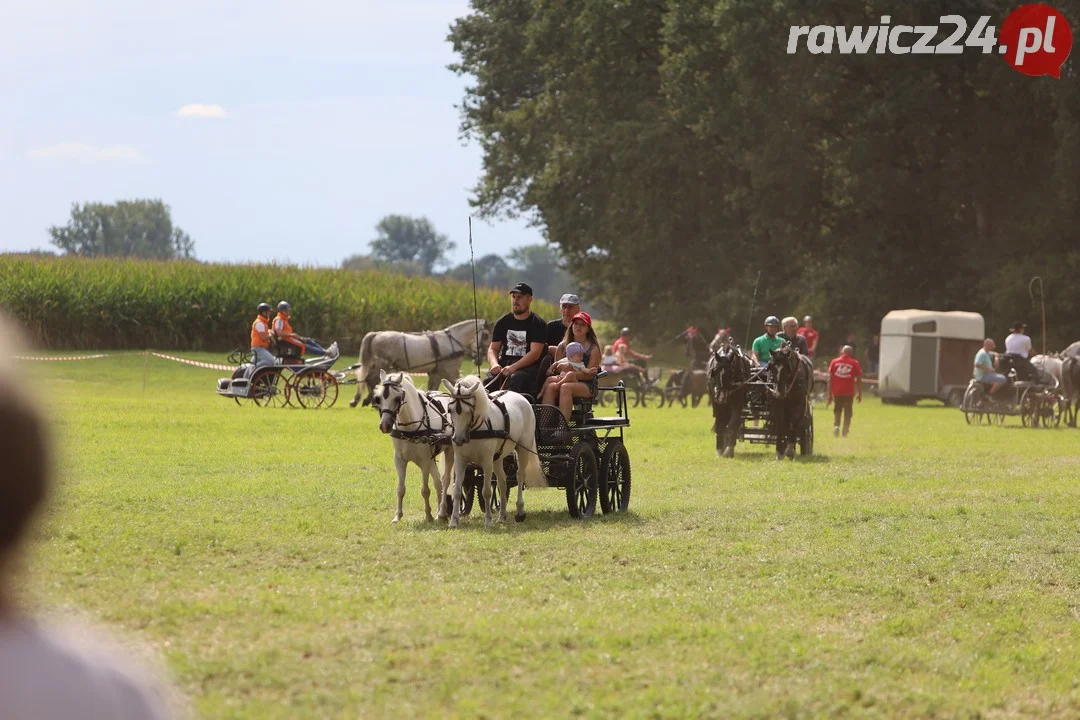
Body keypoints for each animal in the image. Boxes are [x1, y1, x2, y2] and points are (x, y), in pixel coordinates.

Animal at [349, 319, 494, 408]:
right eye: (486, 335)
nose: (479, 359)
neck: (452, 341)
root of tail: (376, 334)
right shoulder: (451, 372)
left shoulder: (436, 374)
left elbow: (433, 389)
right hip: (382, 363)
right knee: (371, 380)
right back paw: (369, 401)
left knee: (368, 380)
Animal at [373, 371, 453, 524]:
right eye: (378, 398)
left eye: (397, 398)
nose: (385, 426)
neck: (410, 427)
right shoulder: (399, 460)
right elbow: (400, 489)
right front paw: (398, 516)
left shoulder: (425, 462)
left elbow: (425, 490)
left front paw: (428, 515)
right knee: (438, 483)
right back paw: (440, 513)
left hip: (449, 452)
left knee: (445, 481)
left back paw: (442, 512)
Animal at [436, 377, 544, 528]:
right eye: (449, 410)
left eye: (468, 411)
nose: (458, 439)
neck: (474, 430)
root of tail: (521, 397)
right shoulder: (460, 460)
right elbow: (457, 490)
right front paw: (453, 521)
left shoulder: (486, 461)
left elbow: (486, 491)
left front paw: (487, 520)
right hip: (497, 458)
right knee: (502, 482)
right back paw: (502, 516)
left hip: (523, 449)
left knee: (520, 476)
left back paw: (520, 512)